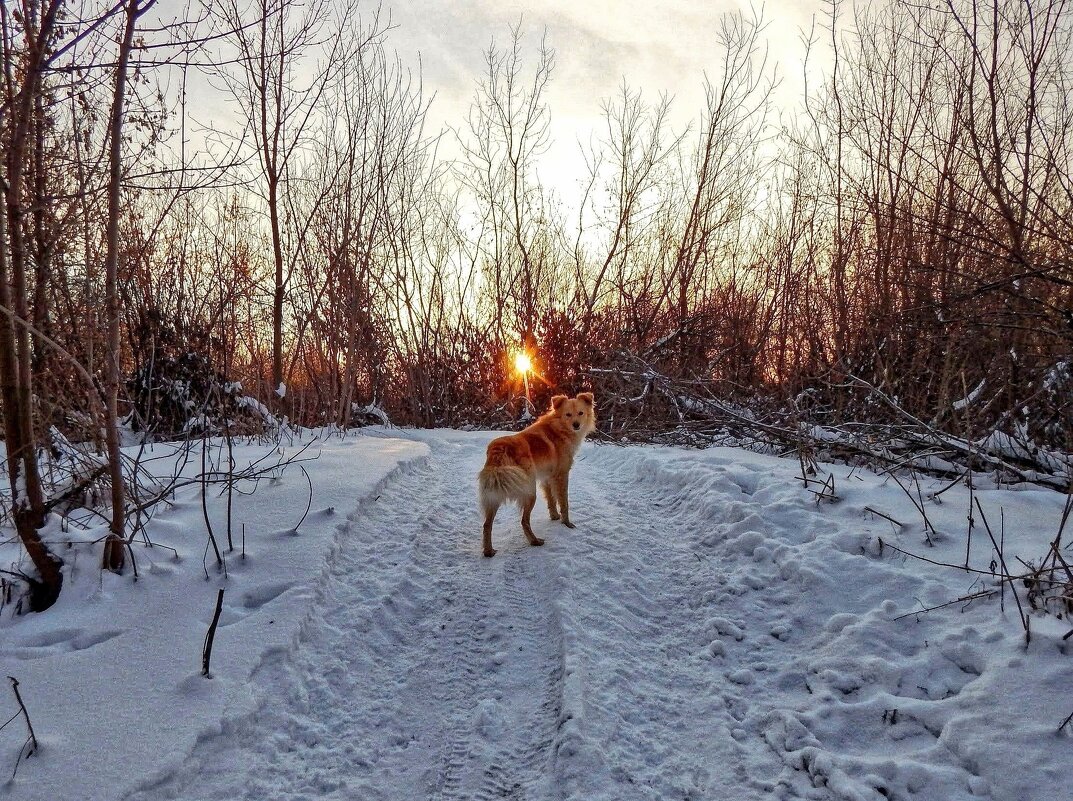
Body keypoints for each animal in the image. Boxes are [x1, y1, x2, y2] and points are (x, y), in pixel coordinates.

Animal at [482, 392, 600, 557]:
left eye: (580, 413)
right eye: (568, 415)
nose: (576, 425)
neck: (559, 429)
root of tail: (499, 449)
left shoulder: (546, 477)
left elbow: (551, 499)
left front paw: (554, 517)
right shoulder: (562, 475)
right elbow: (564, 502)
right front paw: (566, 523)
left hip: (494, 493)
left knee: (487, 524)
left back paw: (488, 551)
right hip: (529, 491)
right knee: (524, 521)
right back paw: (534, 541)